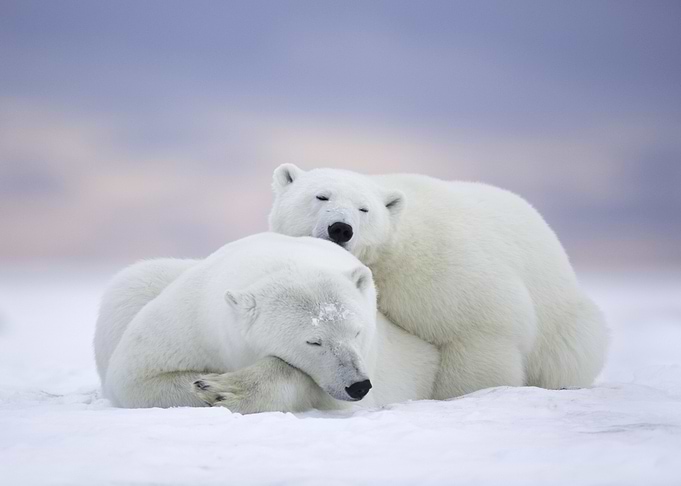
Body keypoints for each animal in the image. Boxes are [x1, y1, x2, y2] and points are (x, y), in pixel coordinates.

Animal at [94, 232, 439, 411]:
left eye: (357, 332)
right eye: (314, 341)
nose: (358, 385)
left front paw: (223, 389)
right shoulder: (191, 321)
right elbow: (137, 378)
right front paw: (208, 385)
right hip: (136, 287)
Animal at [268, 164, 609, 399]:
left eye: (364, 209)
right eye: (321, 195)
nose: (340, 228)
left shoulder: (441, 270)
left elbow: (479, 330)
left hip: (563, 321)